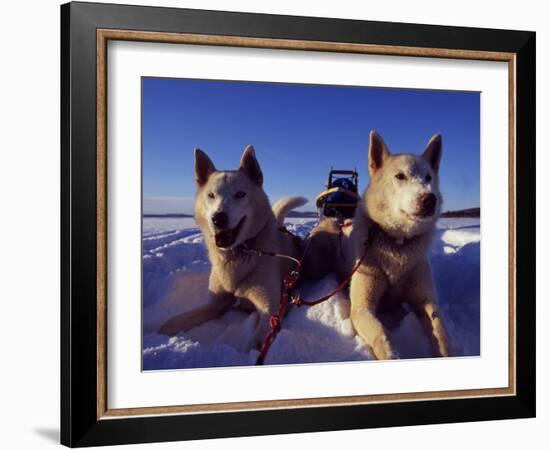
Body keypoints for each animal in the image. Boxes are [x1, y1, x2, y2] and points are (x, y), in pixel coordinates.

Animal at [157, 145, 308, 352]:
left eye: (240, 194)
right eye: (211, 195)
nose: (218, 218)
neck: (240, 253)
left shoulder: (270, 310)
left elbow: (255, 343)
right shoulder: (216, 304)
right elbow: (174, 321)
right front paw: (156, 333)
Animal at [302, 129, 452, 358]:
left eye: (428, 177)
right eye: (400, 176)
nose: (430, 199)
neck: (397, 243)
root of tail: (335, 219)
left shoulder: (426, 301)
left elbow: (441, 332)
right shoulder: (362, 307)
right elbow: (382, 334)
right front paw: (391, 354)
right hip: (317, 264)